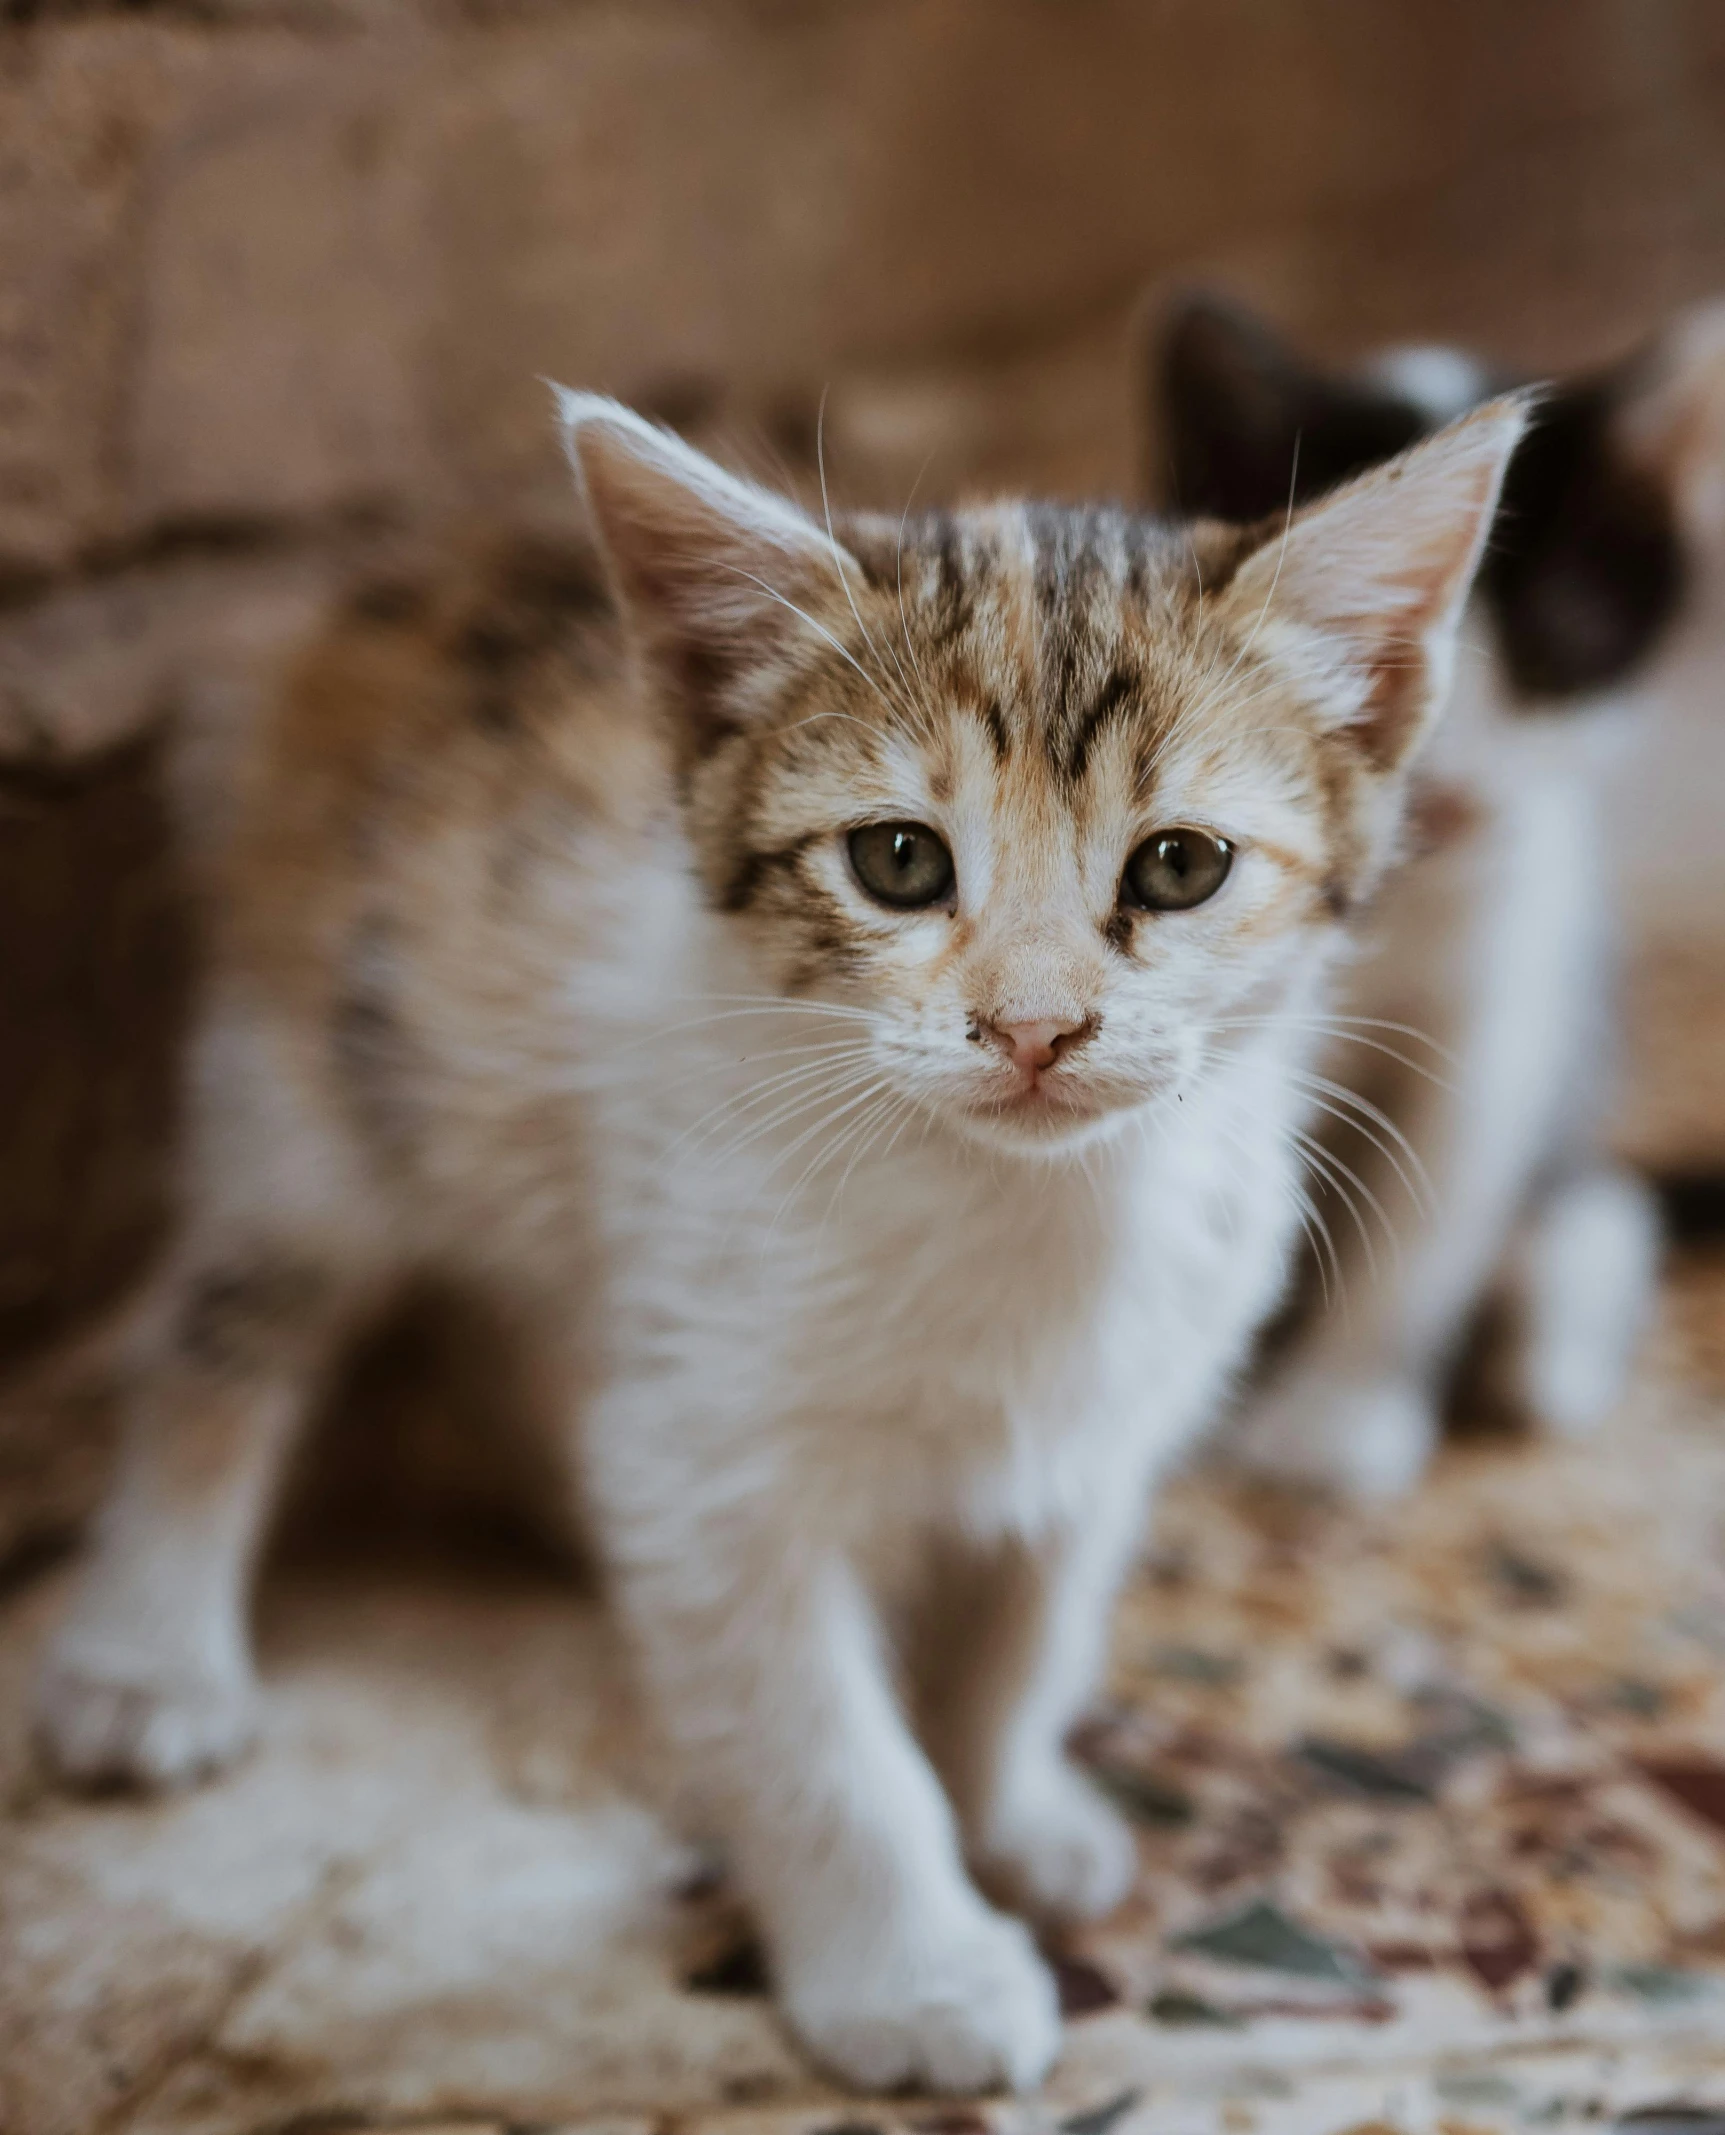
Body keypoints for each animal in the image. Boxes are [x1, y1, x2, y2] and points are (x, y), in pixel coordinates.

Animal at [33, 380, 1520, 2083]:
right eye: (899, 858)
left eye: (1180, 863)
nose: (1035, 1027)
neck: (1025, 1208)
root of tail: (400, 578)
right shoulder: (714, 1447)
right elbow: (820, 1738)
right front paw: (917, 1972)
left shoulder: (1109, 1409)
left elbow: (1027, 1629)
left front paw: (1010, 1805)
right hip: (313, 1083)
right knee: (222, 1329)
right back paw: (144, 1651)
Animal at [1144, 288, 1725, 1503]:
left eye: (1553, 633)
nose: (1449, 788)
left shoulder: (1503, 1003)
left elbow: (1425, 1217)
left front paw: (1338, 1413)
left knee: (1602, 1218)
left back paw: (1549, 1340)